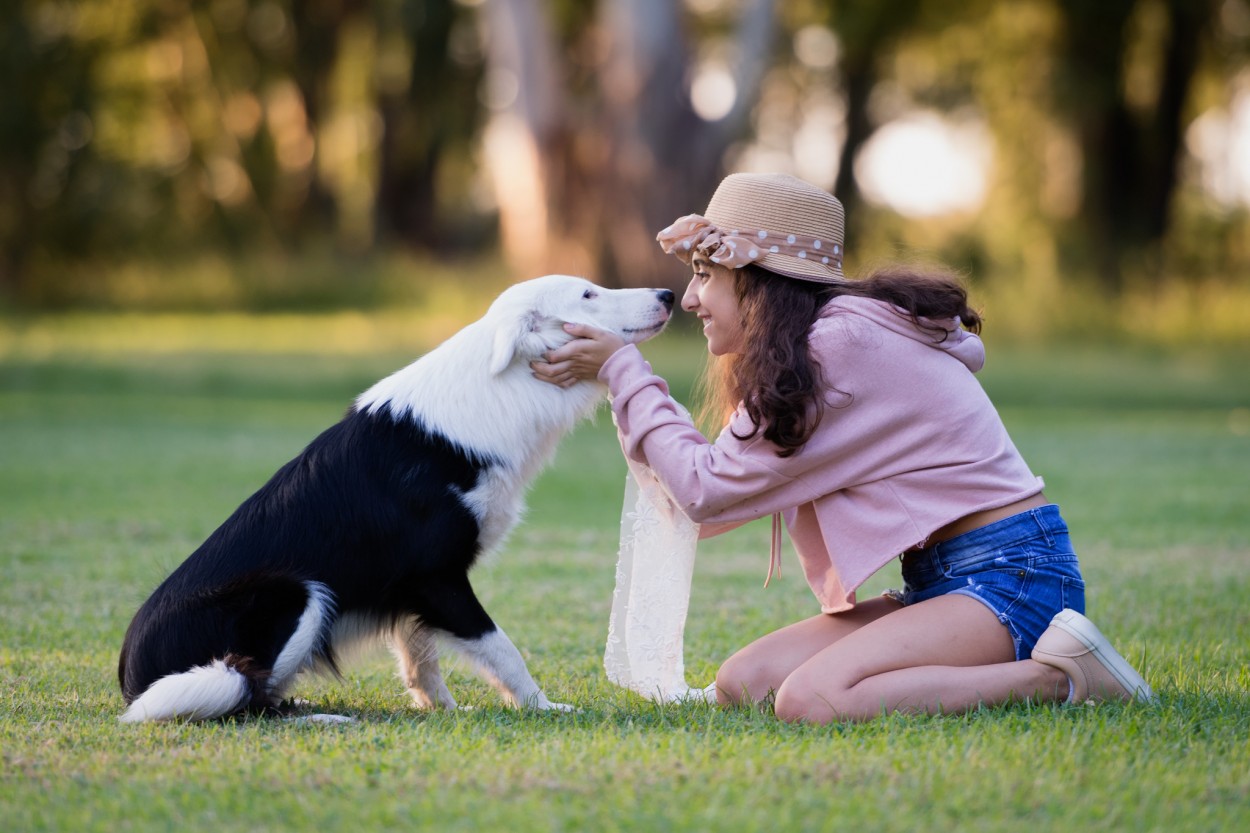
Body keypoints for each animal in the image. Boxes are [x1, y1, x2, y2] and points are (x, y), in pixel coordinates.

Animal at [119, 273, 675, 720]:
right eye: (589, 294)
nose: (668, 294)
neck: (501, 389)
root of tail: (133, 679)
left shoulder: (413, 587)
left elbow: (420, 655)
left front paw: (443, 710)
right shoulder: (437, 576)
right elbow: (501, 649)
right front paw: (542, 706)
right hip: (298, 593)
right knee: (246, 699)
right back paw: (319, 718)